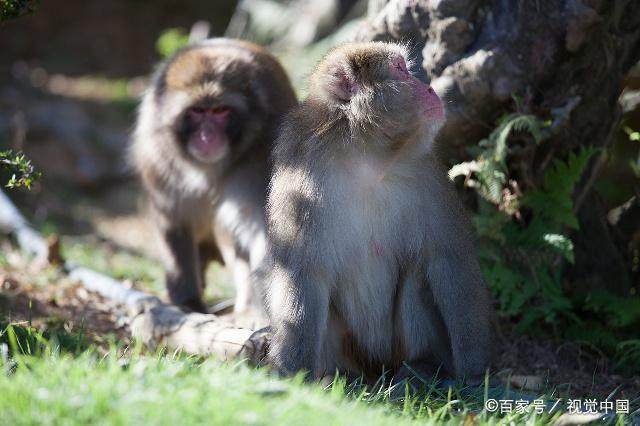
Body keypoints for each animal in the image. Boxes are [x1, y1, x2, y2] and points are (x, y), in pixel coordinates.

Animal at [134, 38, 298, 314]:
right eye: (197, 111)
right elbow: (174, 220)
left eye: (220, 111)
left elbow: (263, 230)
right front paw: (187, 301)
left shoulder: (261, 162)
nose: (207, 137)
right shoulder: (161, 161)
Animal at [264, 42, 496, 382]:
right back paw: (340, 377)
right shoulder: (302, 175)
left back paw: (421, 365)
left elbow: (449, 258)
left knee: (417, 274)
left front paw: (475, 371)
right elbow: (302, 272)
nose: (430, 88)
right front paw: (291, 375)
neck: (366, 156)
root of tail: (376, 368)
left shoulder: (426, 174)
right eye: (399, 69)